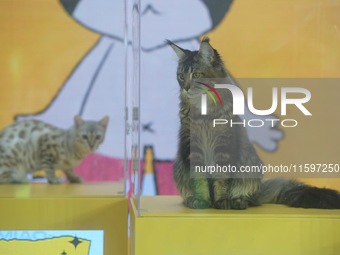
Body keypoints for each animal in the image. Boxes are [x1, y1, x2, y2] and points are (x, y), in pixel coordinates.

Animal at [170, 37, 340, 209]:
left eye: (196, 74)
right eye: (181, 76)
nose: (185, 88)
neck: (203, 112)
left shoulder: (224, 147)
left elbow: (221, 181)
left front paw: (221, 202)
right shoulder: (192, 147)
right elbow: (200, 181)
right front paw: (202, 202)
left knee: (250, 198)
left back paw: (238, 201)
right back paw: (192, 200)